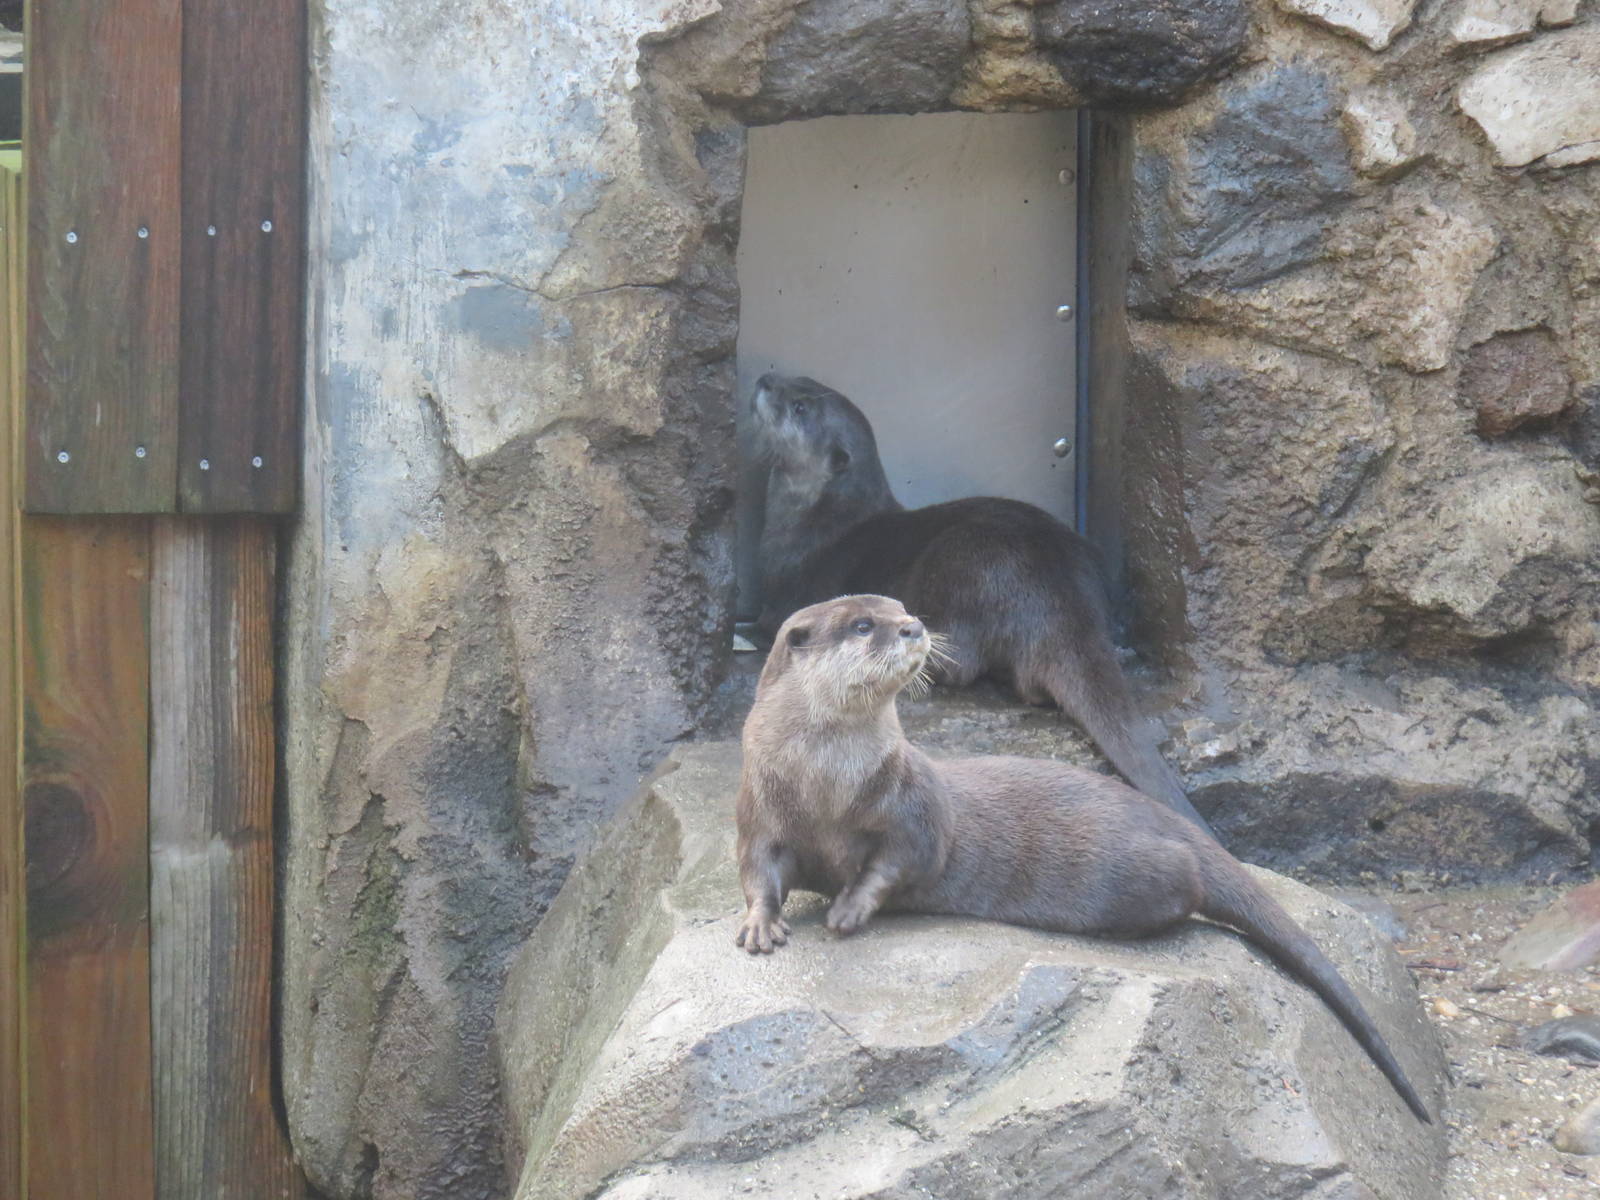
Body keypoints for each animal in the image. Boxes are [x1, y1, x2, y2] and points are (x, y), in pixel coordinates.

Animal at [734, 594, 1431, 1123]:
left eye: (902, 608)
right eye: (862, 624)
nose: (913, 627)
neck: (827, 785)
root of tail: (1172, 822)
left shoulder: (913, 810)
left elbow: (897, 863)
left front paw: (848, 910)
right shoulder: (759, 808)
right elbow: (757, 870)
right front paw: (761, 926)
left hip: (1139, 868)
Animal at [749, 371, 1209, 836]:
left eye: (800, 407)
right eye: (798, 379)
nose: (765, 378)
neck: (816, 521)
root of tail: (1061, 594)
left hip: (960, 574)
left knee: (963, 666)